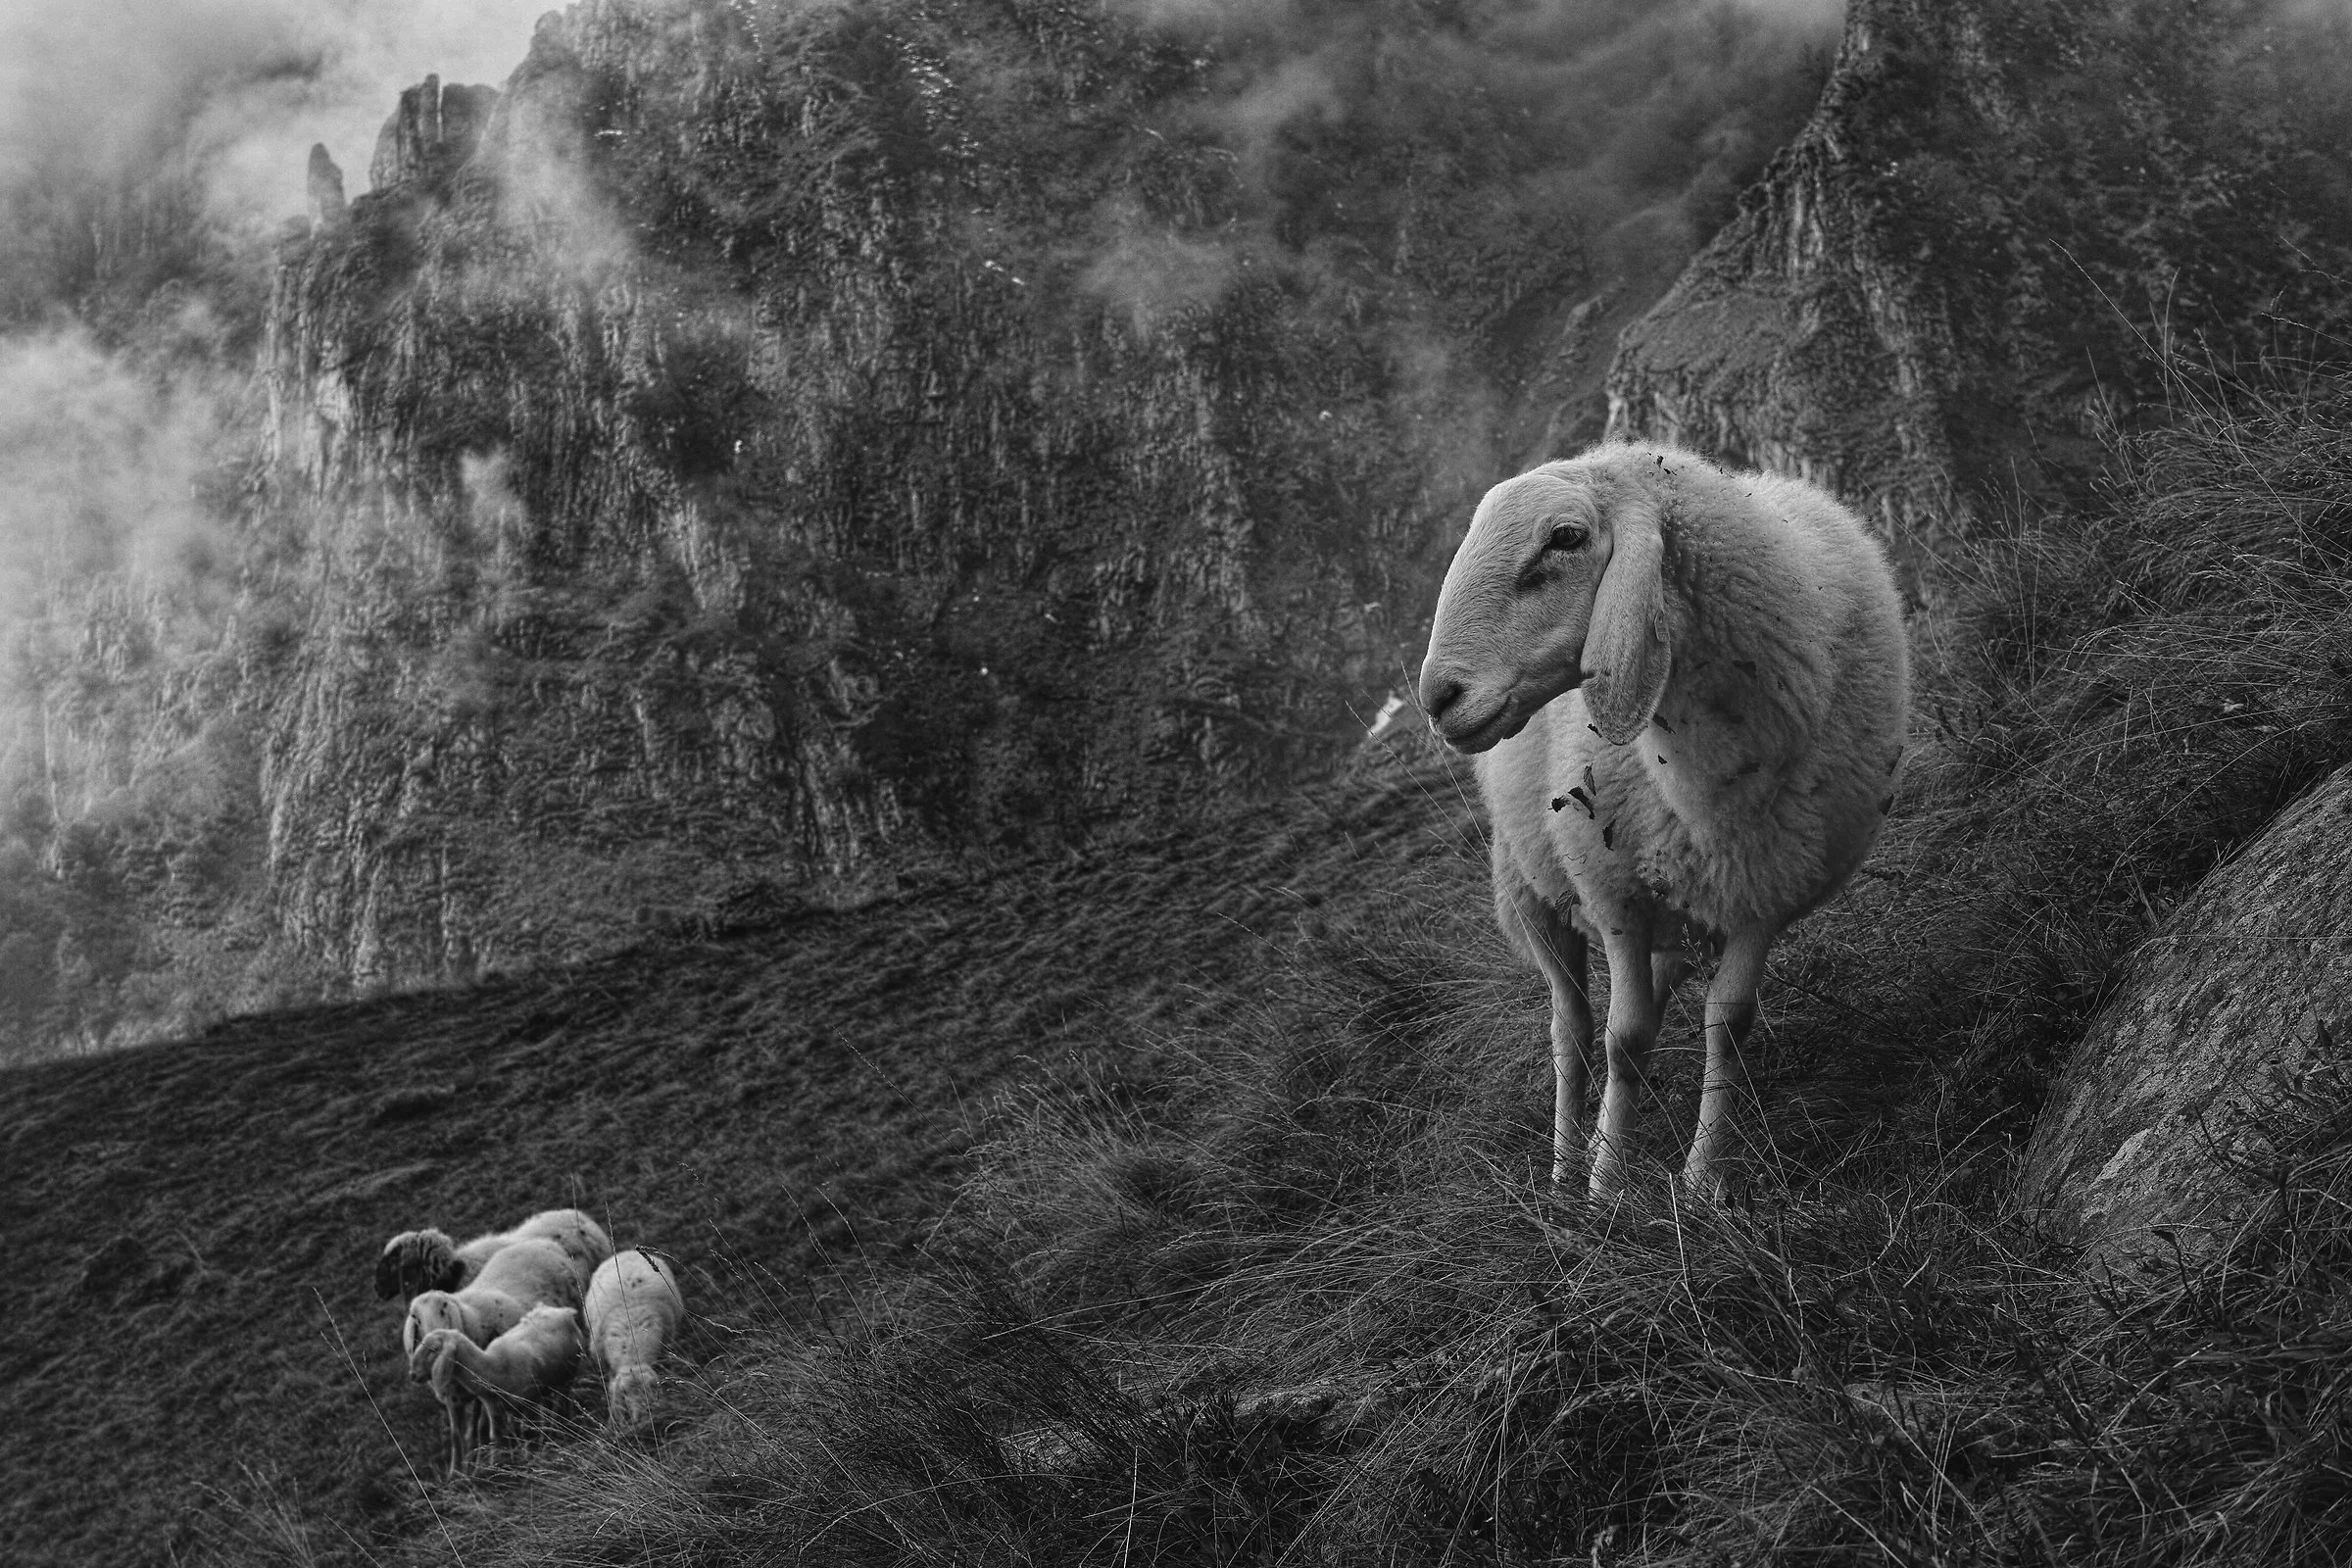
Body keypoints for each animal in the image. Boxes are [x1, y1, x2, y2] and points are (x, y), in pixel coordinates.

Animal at [409, 1304, 585, 1473]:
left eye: (433, 1350)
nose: (412, 1375)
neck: (495, 1366)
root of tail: (563, 1311)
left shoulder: (530, 1400)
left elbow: (528, 1433)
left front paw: (531, 1461)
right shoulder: (494, 1407)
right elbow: (496, 1436)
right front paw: (496, 1465)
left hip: (569, 1374)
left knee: (561, 1403)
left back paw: (562, 1429)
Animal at [1418, 441, 1909, 1200]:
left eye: (1566, 537)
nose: (1437, 696)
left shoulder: (1766, 887)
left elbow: (1728, 1027)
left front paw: (1702, 1187)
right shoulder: (1614, 889)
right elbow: (1625, 1040)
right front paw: (1604, 1188)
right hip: (1531, 892)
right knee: (1572, 1029)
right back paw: (1564, 1169)